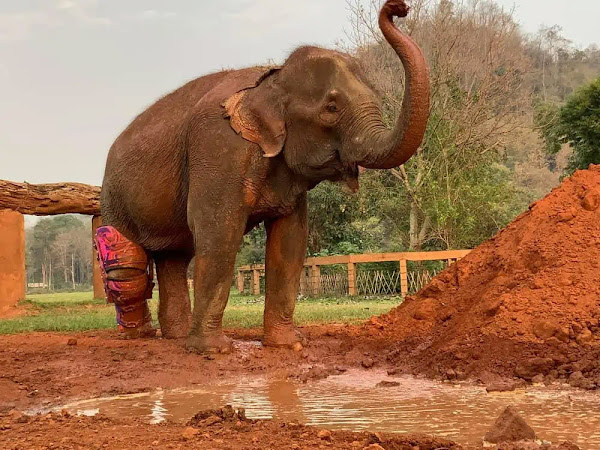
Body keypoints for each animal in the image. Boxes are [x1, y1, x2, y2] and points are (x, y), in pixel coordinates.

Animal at [99, 0, 430, 353]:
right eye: (331, 108)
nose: (399, 8)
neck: (273, 78)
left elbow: (290, 240)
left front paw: (289, 344)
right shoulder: (219, 146)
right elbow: (219, 231)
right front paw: (214, 351)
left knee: (174, 255)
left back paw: (176, 336)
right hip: (114, 198)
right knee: (127, 267)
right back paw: (140, 336)